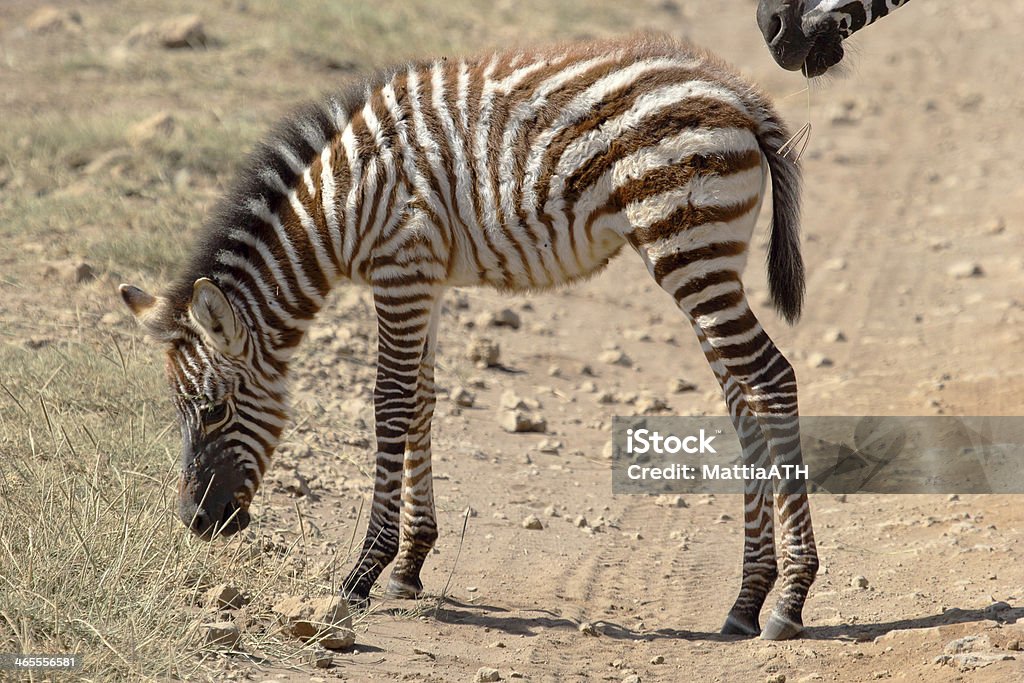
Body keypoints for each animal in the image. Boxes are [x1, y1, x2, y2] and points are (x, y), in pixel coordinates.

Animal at [119, 33, 819, 643]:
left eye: (213, 409)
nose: (196, 523)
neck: (339, 201)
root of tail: (738, 92)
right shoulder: (424, 279)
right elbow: (422, 404)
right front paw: (408, 567)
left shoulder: (400, 270)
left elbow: (390, 404)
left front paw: (363, 574)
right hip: (706, 256)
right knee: (742, 399)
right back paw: (746, 601)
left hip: (687, 246)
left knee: (771, 379)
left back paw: (789, 601)